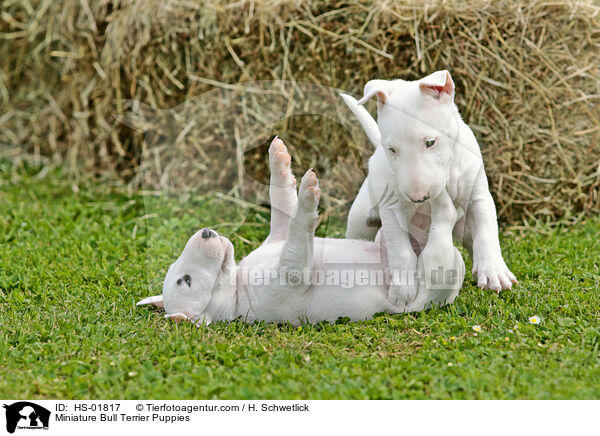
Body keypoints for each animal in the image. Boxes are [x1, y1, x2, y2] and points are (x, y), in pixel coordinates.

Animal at [137, 138, 464, 326]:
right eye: (186, 281)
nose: (206, 232)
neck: (238, 285)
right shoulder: (290, 276)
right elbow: (298, 234)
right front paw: (309, 195)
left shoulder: (278, 236)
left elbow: (283, 206)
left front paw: (279, 159)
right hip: (435, 270)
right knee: (442, 223)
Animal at [340, 70, 516, 306]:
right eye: (392, 150)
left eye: (431, 142)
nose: (418, 198)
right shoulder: (393, 209)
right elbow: (400, 249)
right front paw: (402, 290)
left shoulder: (478, 196)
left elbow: (486, 232)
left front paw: (494, 271)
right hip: (360, 221)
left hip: (463, 227)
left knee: (472, 240)